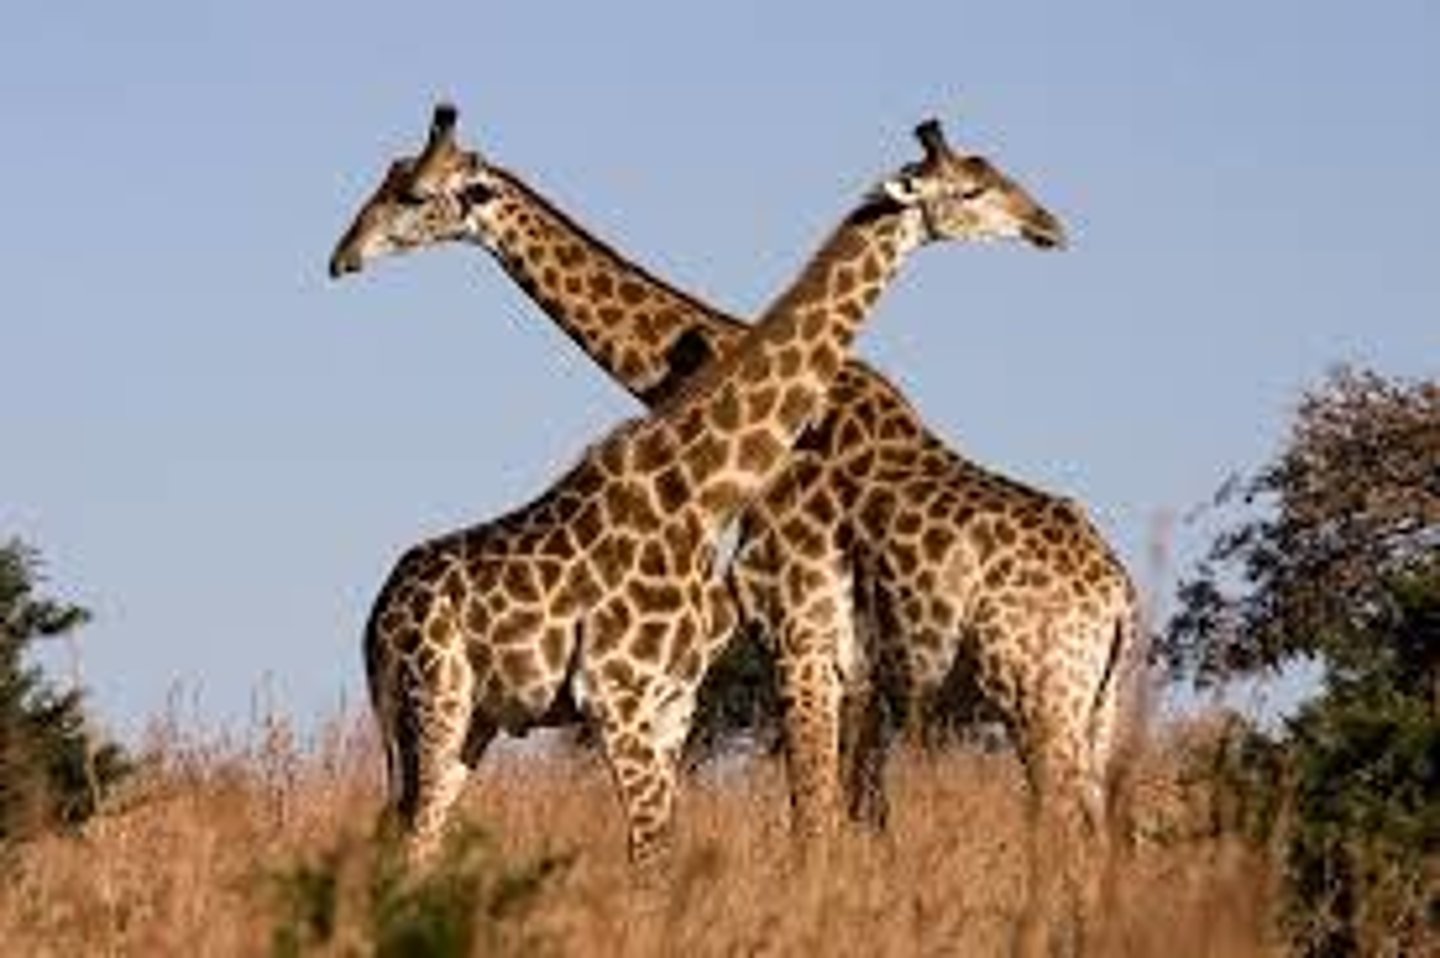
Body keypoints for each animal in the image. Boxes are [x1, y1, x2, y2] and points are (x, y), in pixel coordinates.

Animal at [331, 115, 1066, 874]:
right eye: (975, 186)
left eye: (413, 193)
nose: (342, 256)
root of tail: (376, 616)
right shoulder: (683, 679)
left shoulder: (714, 682)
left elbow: (751, 834)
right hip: (441, 703)